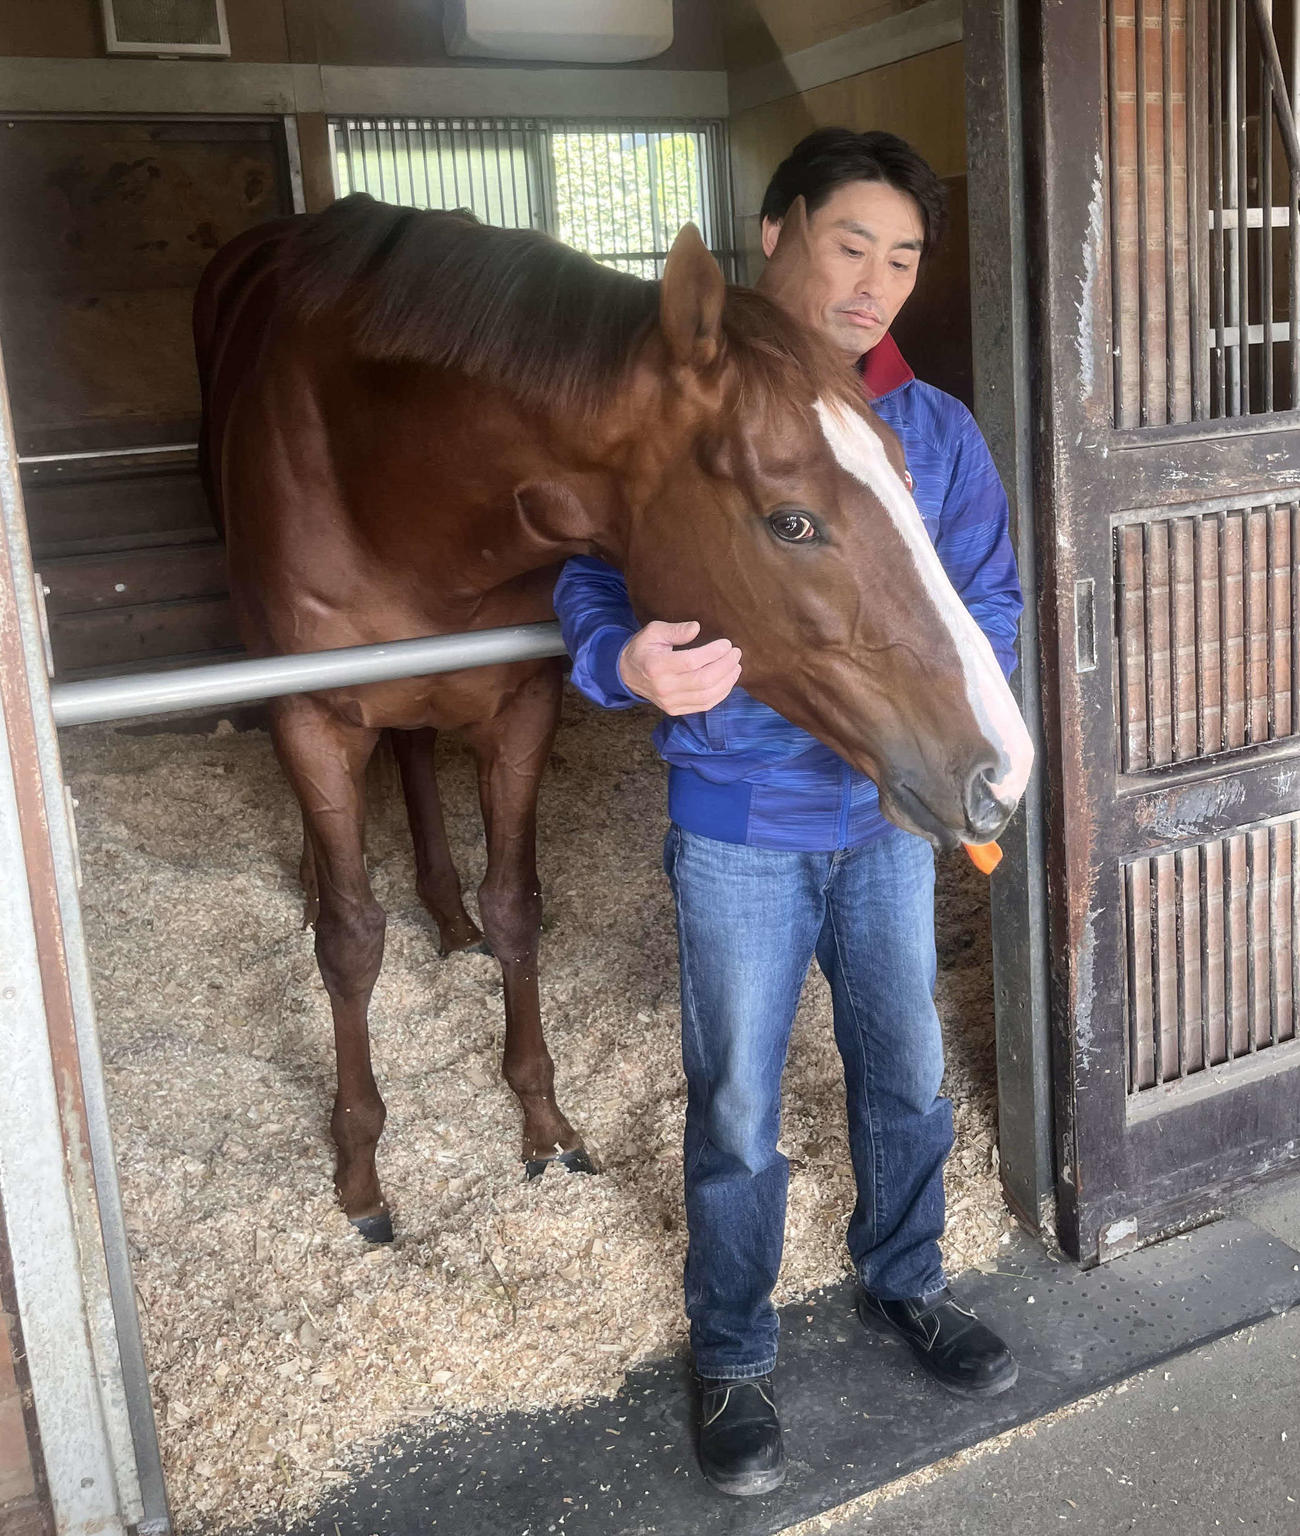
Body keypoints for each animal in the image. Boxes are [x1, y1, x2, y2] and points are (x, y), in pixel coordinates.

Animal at [193, 193, 1032, 1242]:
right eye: (791, 521)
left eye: (910, 476)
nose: (1004, 767)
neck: (377, 470)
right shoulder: (312, 717)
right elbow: (349, 943)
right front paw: (359, 1171)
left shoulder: (522, 703)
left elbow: (517, 907)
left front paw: (543, 1123)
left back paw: (446, 913)